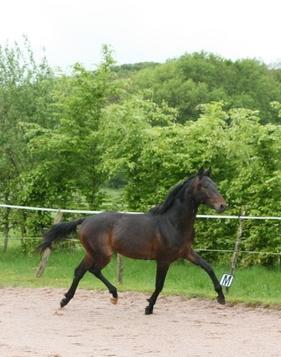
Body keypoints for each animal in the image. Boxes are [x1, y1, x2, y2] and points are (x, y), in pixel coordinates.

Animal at [38, 168, 226, 312]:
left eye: (215, 185)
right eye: (203, 186)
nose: (223, 205)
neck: (172, 223)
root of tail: (85, 220)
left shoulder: (187, 253)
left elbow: (208, 268)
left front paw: (221, 296)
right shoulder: (164, 260)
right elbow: (159, 285)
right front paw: (149, 307)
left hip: (91, 253)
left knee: (79, 271)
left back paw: (64, 300)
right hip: (103, 254)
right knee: (94, 270)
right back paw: (114, 295)